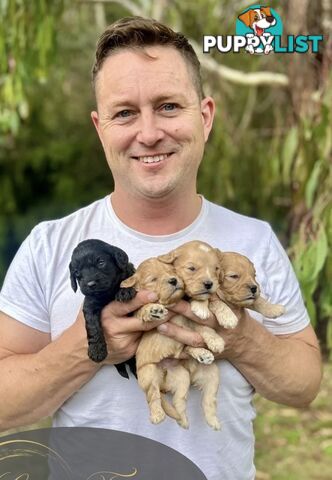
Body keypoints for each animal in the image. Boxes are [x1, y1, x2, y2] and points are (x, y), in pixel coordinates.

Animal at [69, 240, 137, 378]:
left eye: (101, 262)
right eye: (77, 272)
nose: (90, 284)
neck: (108, 292)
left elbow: (129, 279)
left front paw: (125, 290)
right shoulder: (90, 305)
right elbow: (92, 327)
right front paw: (96, 351)